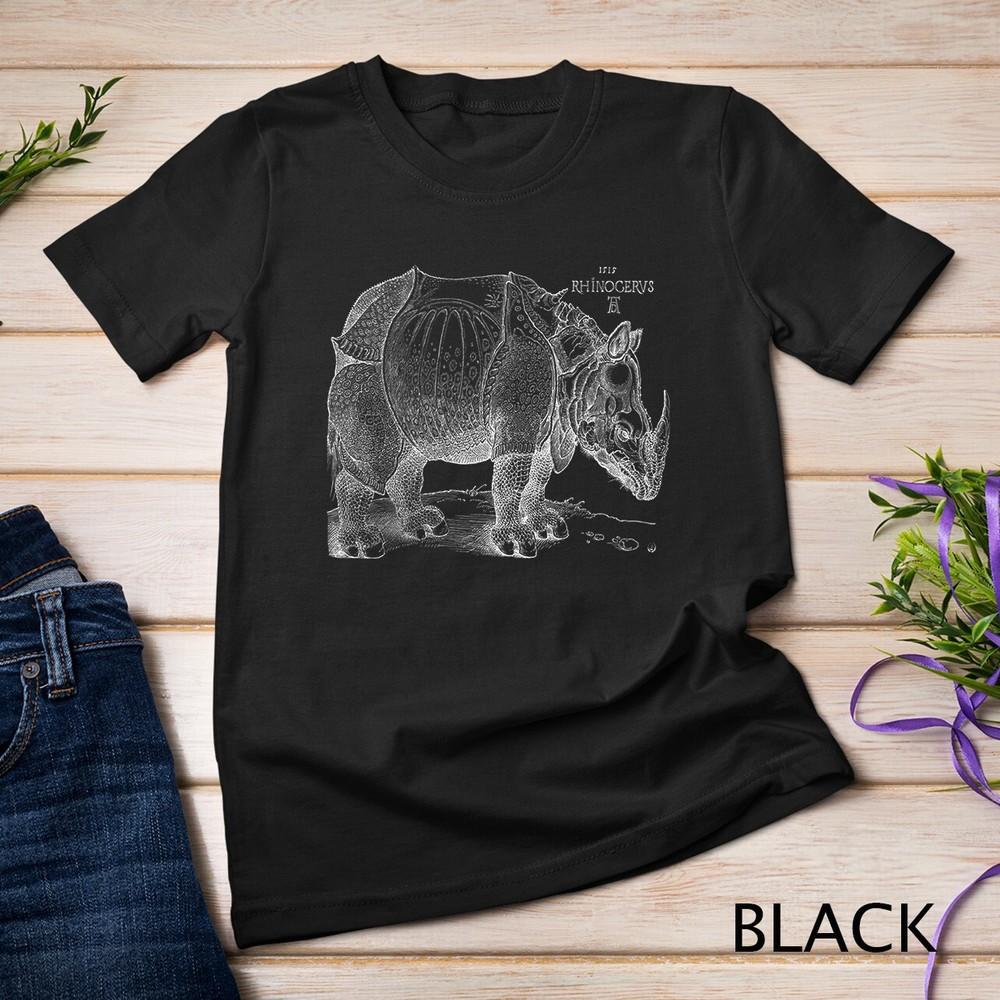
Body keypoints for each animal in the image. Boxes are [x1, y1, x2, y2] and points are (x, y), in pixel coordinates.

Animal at [327, 268, 669, 558]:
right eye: (623, 432)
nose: (649, 491)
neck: (578, 365)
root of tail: (354, 314)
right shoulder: (519, 418)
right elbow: (512, 481)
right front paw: (516, 542)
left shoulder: (551, 424)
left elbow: (539, 477)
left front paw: (547, 526)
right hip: (367, 361)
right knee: (377, 455)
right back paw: (363, 546)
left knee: (413, 449)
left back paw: (427, 526)